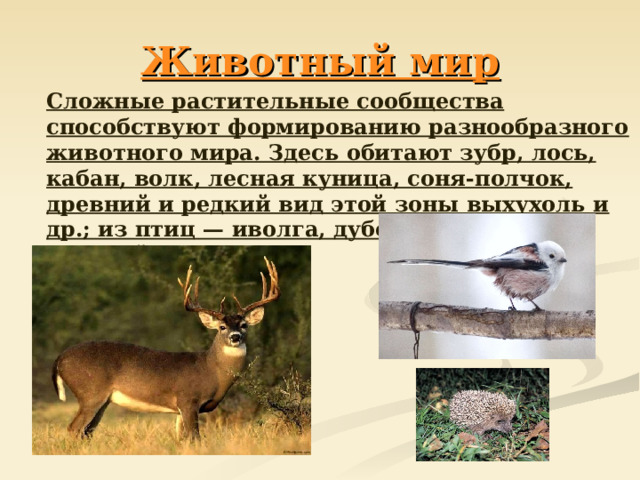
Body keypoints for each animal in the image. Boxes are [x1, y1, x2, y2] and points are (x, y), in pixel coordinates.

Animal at [51, 257, 280, 440]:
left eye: (244, 325)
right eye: (222, 327)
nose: (235, 337)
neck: (211, 371)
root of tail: (59, 359)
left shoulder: (180, 410)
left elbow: (182, 439)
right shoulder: (188, 399)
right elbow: (195, 438)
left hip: (102, 400)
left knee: (86, 432)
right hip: (90, 393)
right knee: (73, 429)